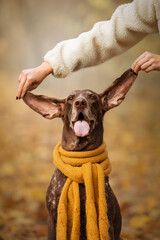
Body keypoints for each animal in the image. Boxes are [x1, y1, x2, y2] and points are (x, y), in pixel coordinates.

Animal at [22, 68, 138, 239]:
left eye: (92, 97)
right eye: (71, 98)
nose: (80, 102)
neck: (79, 161)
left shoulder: (107, 224)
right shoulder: (53, 221)